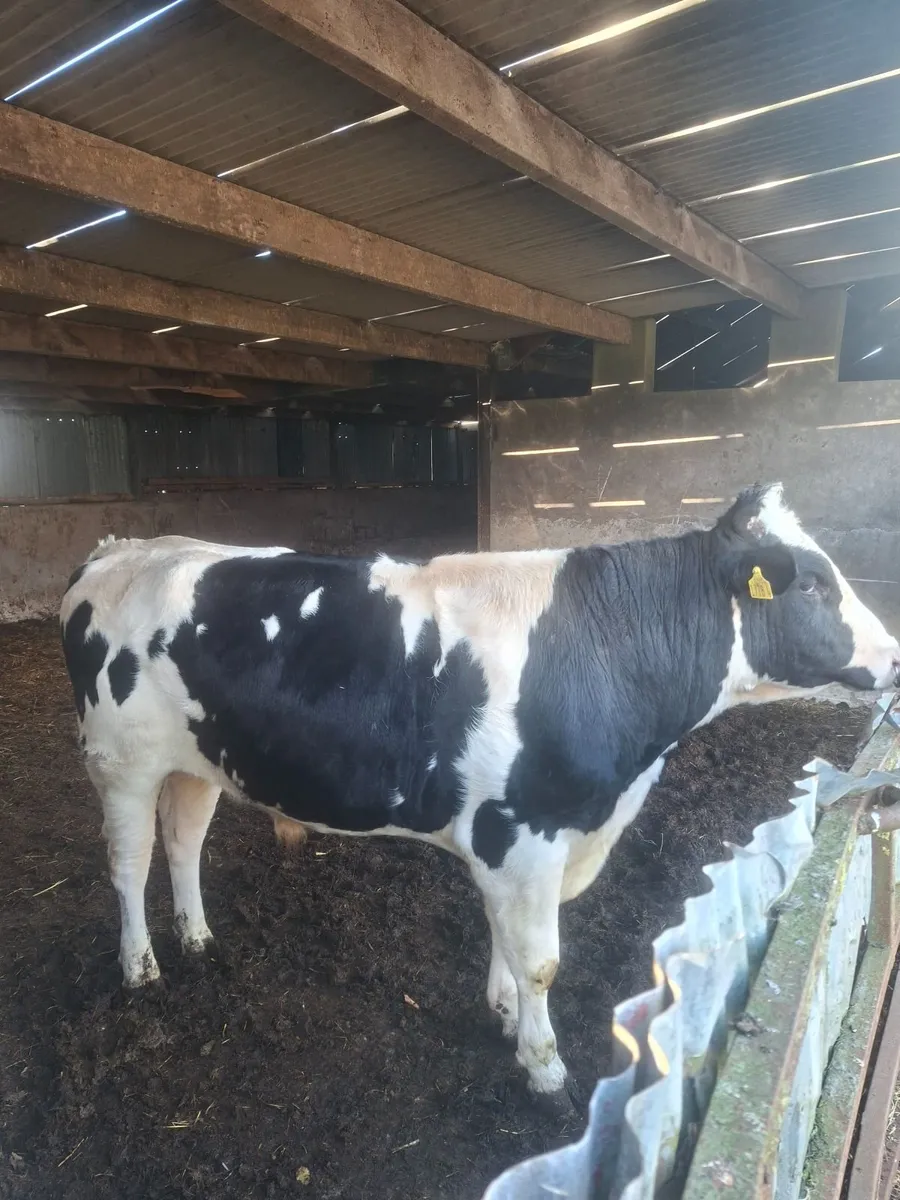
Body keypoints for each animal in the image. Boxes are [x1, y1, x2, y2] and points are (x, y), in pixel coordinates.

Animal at [59, 483, 900, 1111]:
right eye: (812, 582)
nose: (894, 657)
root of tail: (124, 550)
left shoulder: (525, 843)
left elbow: (506, 939)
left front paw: (501, 1014)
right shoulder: (519, 832)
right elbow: (540, 960)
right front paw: (546, 1071)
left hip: (197, 761)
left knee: (183, 841)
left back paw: (199, 941)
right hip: (119, 762)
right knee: (130, 863)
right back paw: (142, 969)